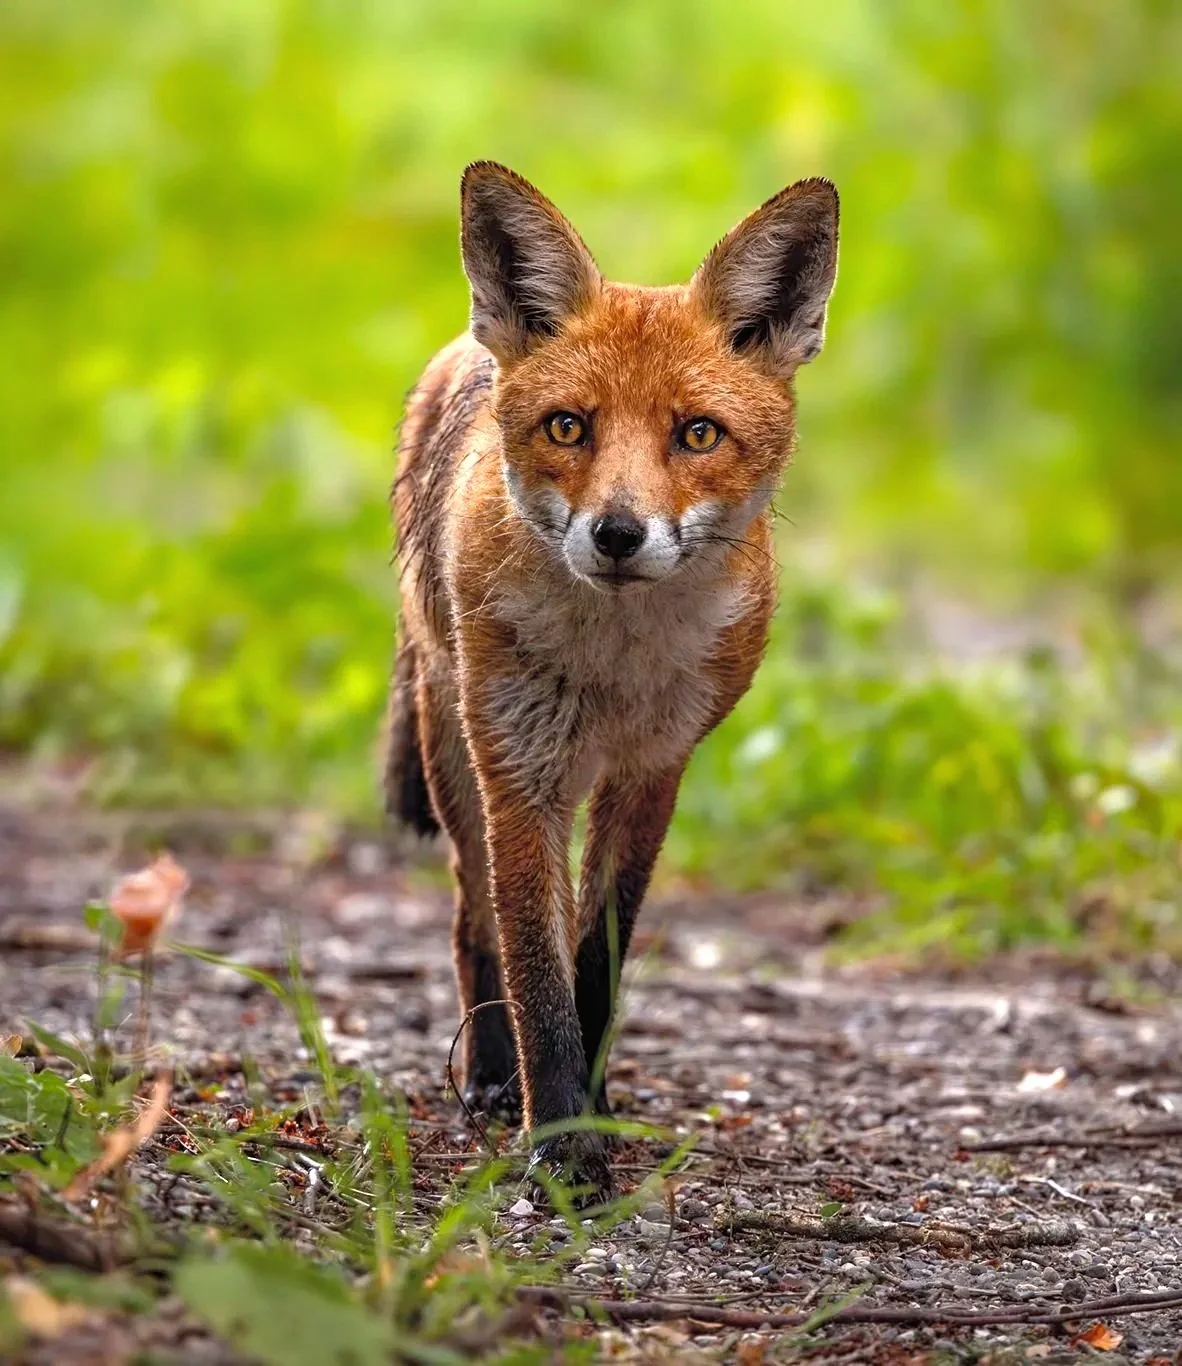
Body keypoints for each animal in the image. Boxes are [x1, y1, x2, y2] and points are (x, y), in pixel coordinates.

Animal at [387, 162, 839, 1197]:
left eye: (698, 435)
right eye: (569, 427)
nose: (619, 534)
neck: (612, 669)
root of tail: (460, 349)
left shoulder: (653, 770)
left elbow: (596, 959)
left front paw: (589, 1113)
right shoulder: (522, 772)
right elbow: (536, 971)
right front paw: (558, 1143)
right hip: (452, 748)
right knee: (472, 922)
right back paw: (488, 1077)